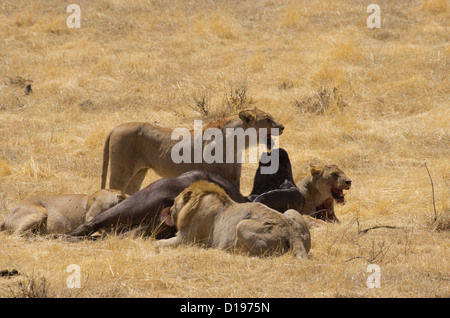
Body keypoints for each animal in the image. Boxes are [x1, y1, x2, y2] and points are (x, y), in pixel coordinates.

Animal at [157, 179, 310, 258]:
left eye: (174, 203)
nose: (170, 211)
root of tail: (291, 233)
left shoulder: (186, 239)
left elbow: (158, 243)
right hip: (291, 212)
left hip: (242, 225)